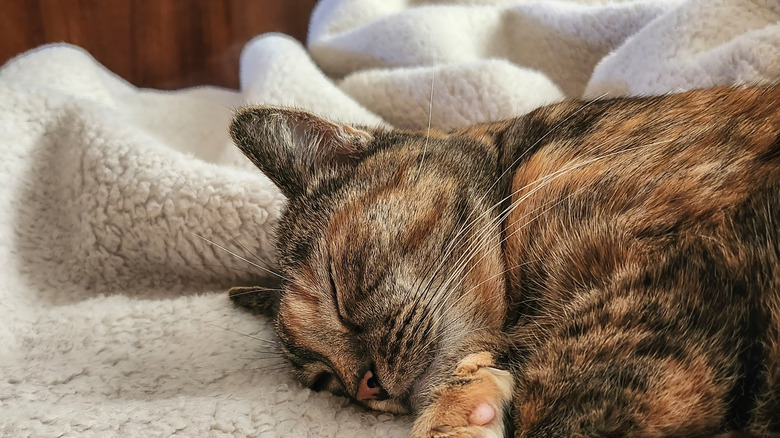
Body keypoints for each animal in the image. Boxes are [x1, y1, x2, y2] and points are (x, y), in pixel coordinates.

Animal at [227, 84, 780, 438]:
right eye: (324, 381)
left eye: (339, 285)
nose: (366, 385)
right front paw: (469, 407)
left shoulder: (667, 289)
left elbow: (577, 411)